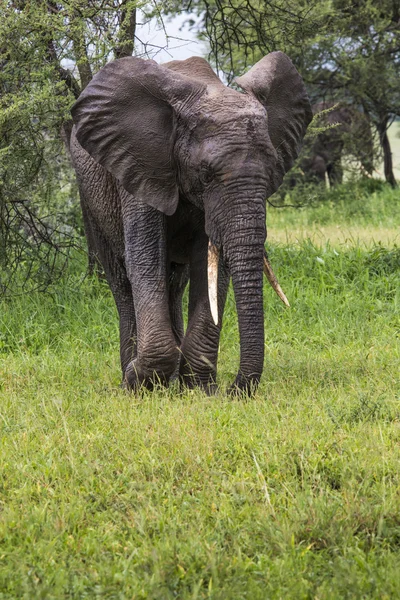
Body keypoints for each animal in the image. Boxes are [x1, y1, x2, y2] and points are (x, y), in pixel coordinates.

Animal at [71, 51, 312, 394]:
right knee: (121, 280)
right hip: (90, 196)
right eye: (206, 173)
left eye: (272, 169)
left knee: (174, 281)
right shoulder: (142, 163)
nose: (234, 391)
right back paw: (133, 373)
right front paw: (138, 381)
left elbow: (211, 262)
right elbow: (144, 259)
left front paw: (198, 387)